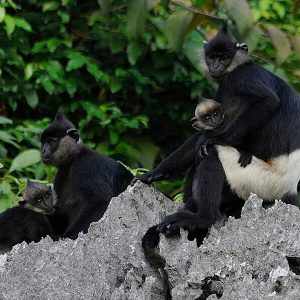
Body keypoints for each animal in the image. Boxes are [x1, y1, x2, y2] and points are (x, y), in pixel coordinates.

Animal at [40, 110, 133, 239]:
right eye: (43, 143)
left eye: (51, 141)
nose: (43, 150)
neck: (75, 157)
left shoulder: (87, 165)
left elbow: (99, 201)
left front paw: (68, 236)